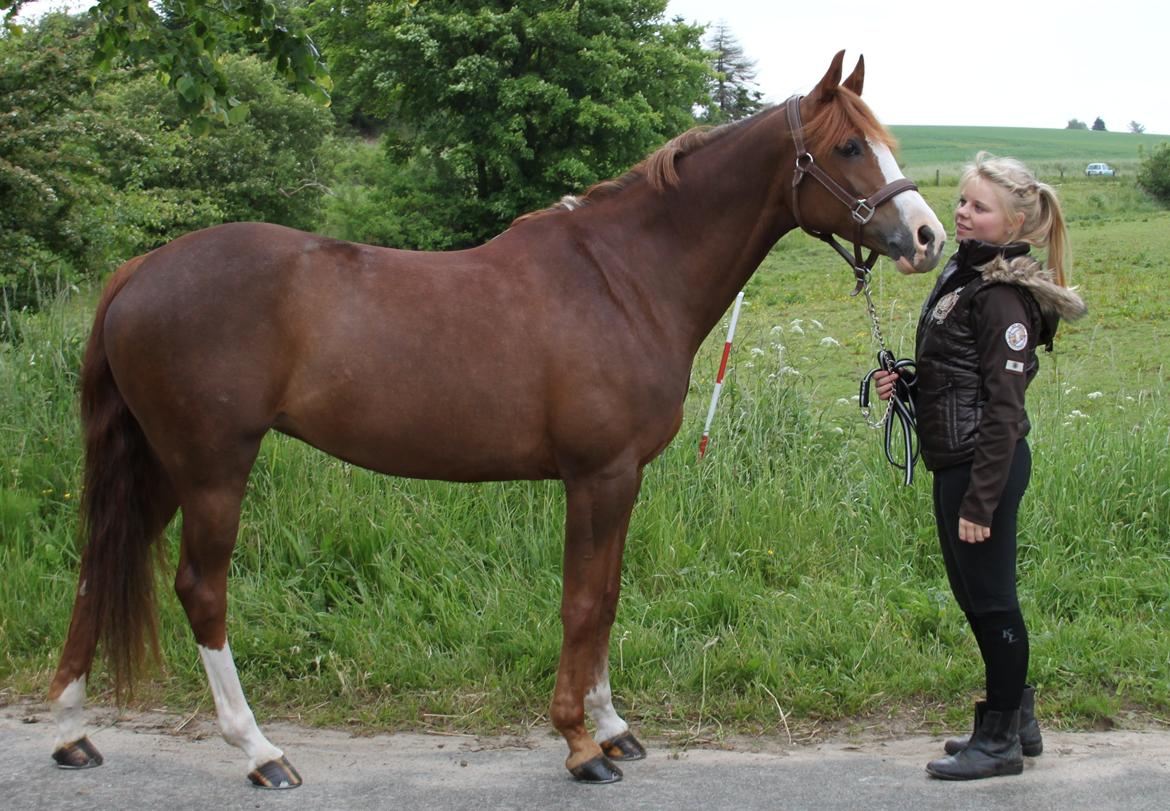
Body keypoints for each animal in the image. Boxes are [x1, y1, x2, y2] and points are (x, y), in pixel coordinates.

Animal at [47, 51, 945, 788]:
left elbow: (607, 593)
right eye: (849, 148)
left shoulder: (622, 478)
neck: (625, 277)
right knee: (200, 589)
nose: (928, 236)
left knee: (99, 562)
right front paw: (579, 744)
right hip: (211, 466)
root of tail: (138, 270)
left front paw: (613, 727)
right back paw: (259, 750)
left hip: (159, 464)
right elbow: (582, 601)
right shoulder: (597, 475)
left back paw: (69, 730)